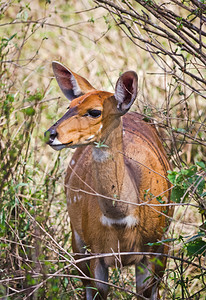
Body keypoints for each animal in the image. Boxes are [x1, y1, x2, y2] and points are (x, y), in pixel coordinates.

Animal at [45, 61, 174, 300]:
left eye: (95, 111)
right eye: (69, 106)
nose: (50, 134)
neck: (121, 218)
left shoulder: (154, 249)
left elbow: (145, 291)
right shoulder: (96, 252)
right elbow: (98, 290)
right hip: (77, 240)